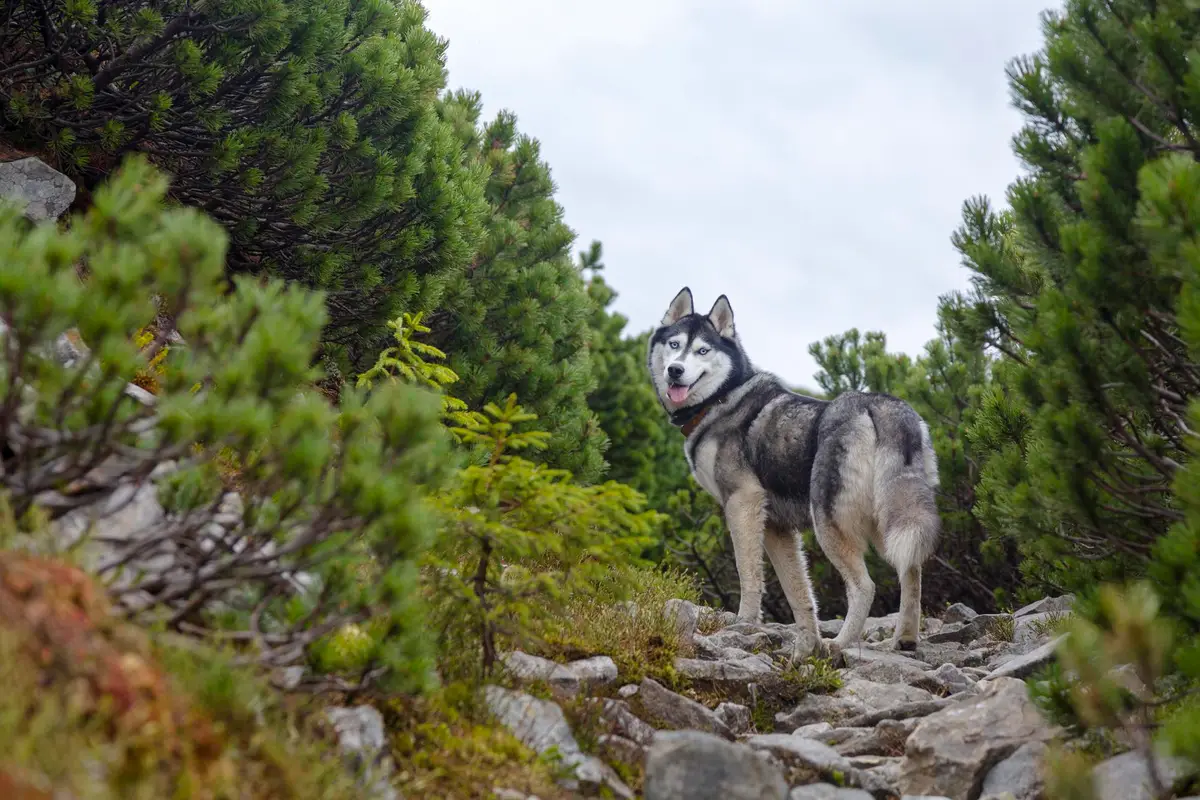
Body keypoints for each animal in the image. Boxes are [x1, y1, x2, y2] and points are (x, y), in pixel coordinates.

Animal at [647, 287, 941, 659]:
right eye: (674, 344)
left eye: (702, 350)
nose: (675, 370)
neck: (721, 399)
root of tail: (882, 407)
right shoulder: (778, 528)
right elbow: (799, 593)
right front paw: (805, 647)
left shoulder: (742, 504)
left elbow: (748, 574)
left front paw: (745, 623)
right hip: (892, 523)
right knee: (912, 572)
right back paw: (904, 639)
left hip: (831, 524)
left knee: (865, 586)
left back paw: (840, 643)